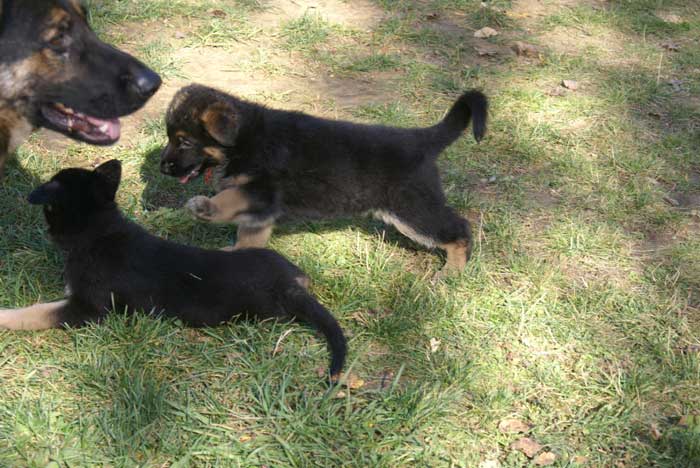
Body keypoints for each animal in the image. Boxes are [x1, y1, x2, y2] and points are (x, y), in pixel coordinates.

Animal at [160, 84, 486, 276]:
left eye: (184, 142)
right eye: (170, 138)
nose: (163, 168)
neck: (243, 139)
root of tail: (422, 139)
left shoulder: (261, 190)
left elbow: (229, 198)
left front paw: (206, 207)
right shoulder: (261, 210)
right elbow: (250, 236)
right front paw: (242, 256)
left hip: (412, 210)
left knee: (459, 229)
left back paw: (452, 272)